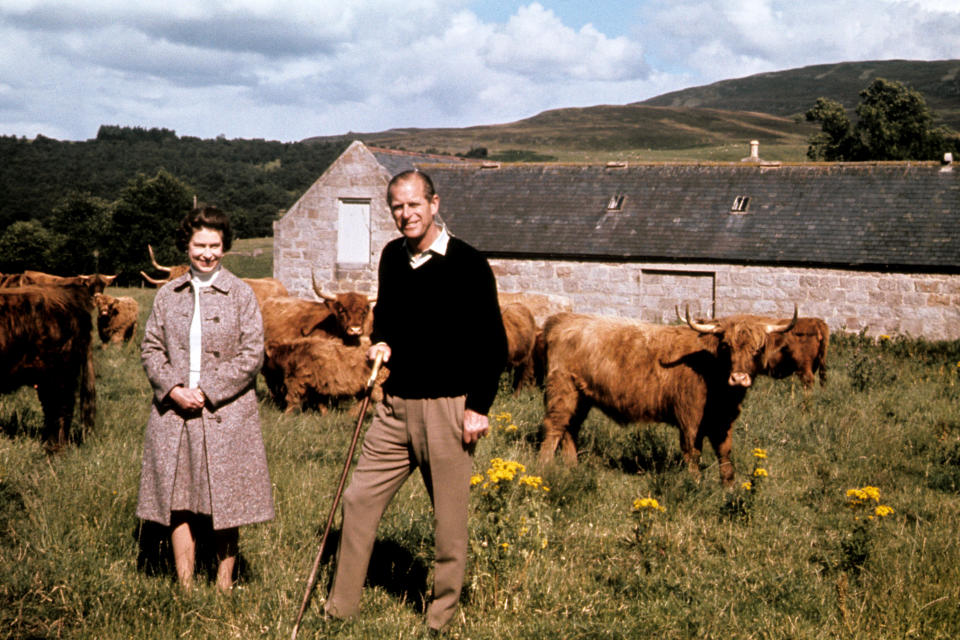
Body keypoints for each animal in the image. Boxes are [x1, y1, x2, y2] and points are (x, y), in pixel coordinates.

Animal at [540, 308, 796, 482]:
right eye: (727, 347)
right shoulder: (689, 417)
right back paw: (545, 467)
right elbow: (692, 451)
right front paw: (695, 483)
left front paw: (729, 487)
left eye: (758, 349)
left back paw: (572, 467)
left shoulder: (723, 420)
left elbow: (725, 453)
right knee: (554, 427)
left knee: (569, 429)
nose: (739, 378)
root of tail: (563, 319)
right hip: (562, 390)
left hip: (581, 397)